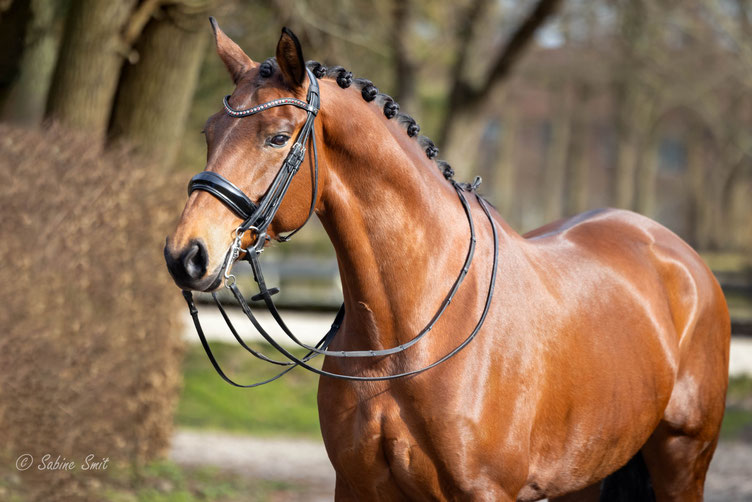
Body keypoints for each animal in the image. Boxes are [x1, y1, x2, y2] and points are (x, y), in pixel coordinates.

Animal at [164, 21, 730, 502]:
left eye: (278, 137)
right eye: (208, 133)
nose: (185, 255)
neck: (407, 337)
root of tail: (681, 258)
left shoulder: (485, 491)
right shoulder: (357, 486)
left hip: (683, 461)